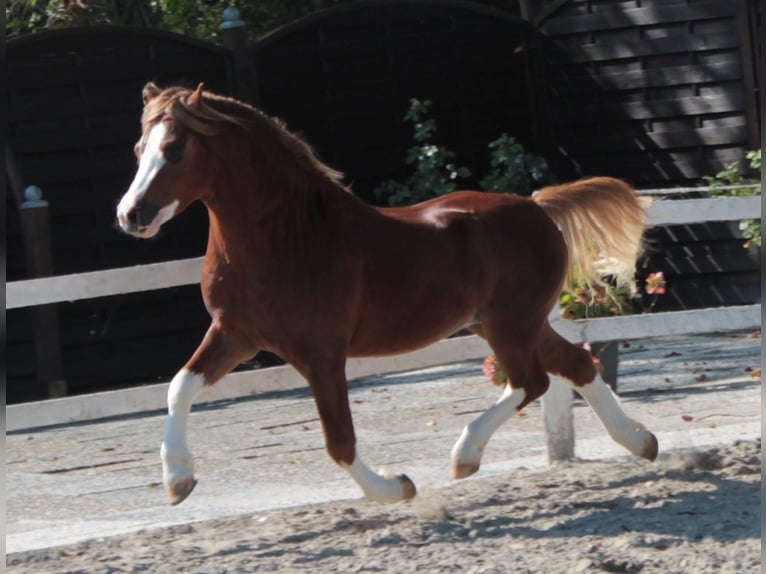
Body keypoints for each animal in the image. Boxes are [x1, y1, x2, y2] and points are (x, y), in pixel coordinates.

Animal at [117, 83, 658, 506]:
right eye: (139, 148)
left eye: (176, 149)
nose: (131, 215)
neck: (289, 237)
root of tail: (537, 206)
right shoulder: (236, 335)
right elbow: (179, 387)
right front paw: (178, 481)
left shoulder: (320, 353)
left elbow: (339, 440)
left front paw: (396, 488)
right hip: (504, 322)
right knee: (575, 364)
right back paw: (641, 441)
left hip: (511, 324)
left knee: (533, 381)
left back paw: (464, 457)